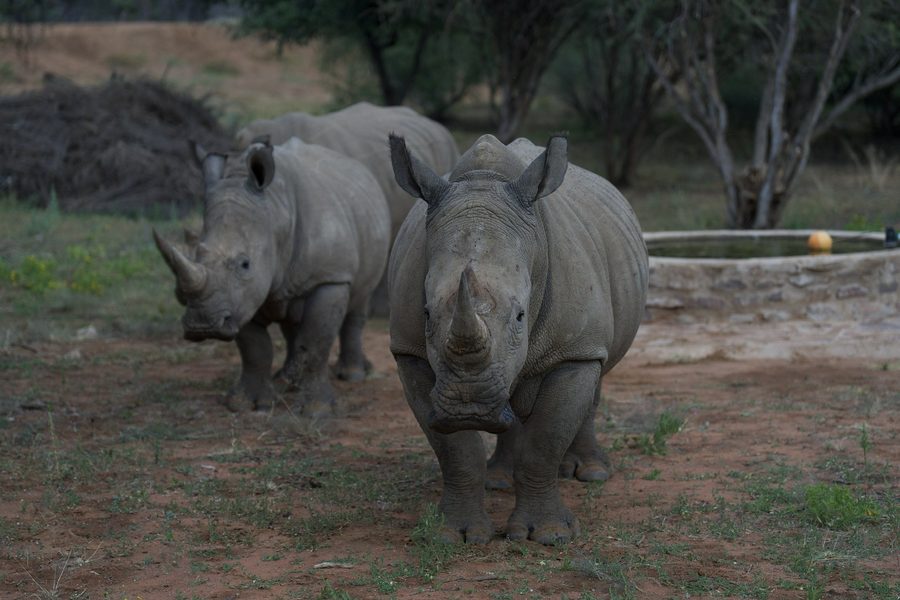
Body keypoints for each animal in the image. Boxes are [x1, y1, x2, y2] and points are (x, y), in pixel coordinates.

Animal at [153, 137, 391, 415]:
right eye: (197, 254)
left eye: (245, 264)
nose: (202, 325)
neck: (275, 215)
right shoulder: (241, 298)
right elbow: (255, 348)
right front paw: (246, 404)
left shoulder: (330, 277)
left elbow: (317, 342)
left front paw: (316, 410)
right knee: (292, 322)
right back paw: (286, 381)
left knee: (358, 301)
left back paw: (352, 376)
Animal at [387, 133, 648, 544]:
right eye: (427, 313)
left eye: (521, 315)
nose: (468, 407)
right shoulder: (409, 350)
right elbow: (455, 452)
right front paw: (452, 534)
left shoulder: (573, 350)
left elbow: (545, 441)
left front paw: (549, 535)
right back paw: (498, 480)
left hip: (592, 333)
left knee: (596, 375)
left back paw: (591, 474)